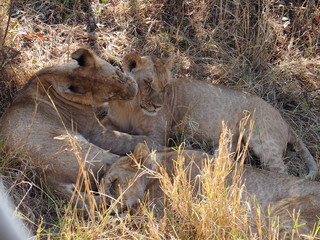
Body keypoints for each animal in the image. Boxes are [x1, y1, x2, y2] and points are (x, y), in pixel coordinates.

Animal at [0, 47, 151, 207]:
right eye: (110, 95)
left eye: (118, 74)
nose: (135, 90)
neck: (60, 75)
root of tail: (45, 179)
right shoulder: (97, 133)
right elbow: (127, 139)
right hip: (89, 153)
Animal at [104, 143, 320, 237]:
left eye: (113, 182)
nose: (106, 207)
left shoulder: (165, 212)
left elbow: (130, 218)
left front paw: (108, 222)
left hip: (284, 214)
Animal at [105, 53, 318, 179]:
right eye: (148, 83)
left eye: (164, 86)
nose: (157, 106)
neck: (131, 106)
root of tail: (285, 122)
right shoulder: (112, 119)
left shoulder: (158, 135)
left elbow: (139, 138)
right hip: (231, 139)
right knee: (228, 154)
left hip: (261, 136)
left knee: (280, 169)